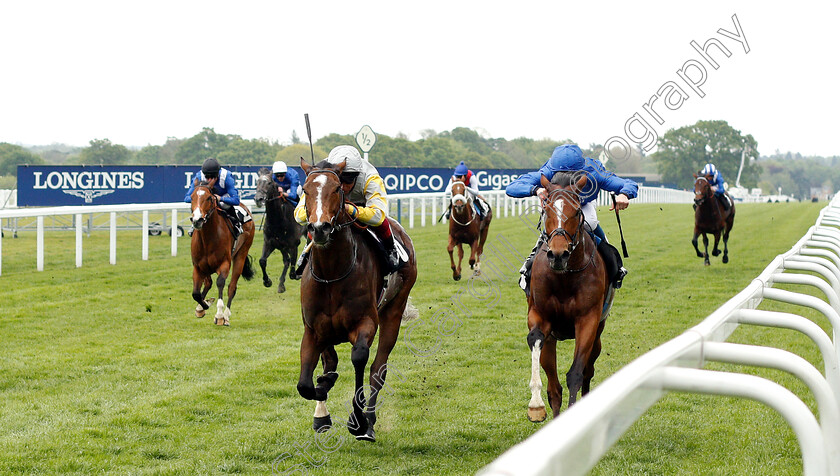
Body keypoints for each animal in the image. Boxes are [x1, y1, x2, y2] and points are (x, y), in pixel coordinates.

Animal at [189, 178, 254, 328]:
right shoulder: (198, 266)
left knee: (232, 287)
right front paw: (203, 305)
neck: (207, 239)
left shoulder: (224, 264)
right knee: (208, 282)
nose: (197, 220)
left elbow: (220, 283)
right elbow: (196, 293)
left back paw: (226, 316)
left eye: (209, 198)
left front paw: (219, 315)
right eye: (192, 197)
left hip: (241, 254)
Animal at [294, 157, 418, 442]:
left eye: (337, 189)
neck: (332, 273)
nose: (319, 228)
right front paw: (322, 401)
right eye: (305, 190)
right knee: (329, 364)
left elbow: (359, 358)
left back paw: (369, 422)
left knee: (378, 369)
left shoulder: (365, 323)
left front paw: (358, 420)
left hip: (394, 310)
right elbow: (307, 383)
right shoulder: (313, 329)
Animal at [528, 173, 612, 422]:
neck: (564, 277)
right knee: (554, 387)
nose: (558, 254)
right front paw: (535, 406)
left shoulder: (588, 320)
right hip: (552, 339)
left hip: (598, 336)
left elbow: (576, 374)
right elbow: (535, 337)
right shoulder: (540, 315)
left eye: (576, 212)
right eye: (546, 209)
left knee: (587, 373)